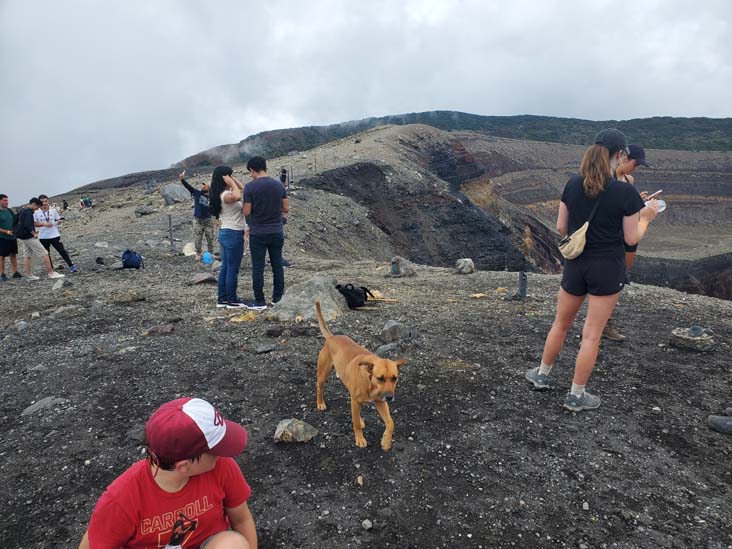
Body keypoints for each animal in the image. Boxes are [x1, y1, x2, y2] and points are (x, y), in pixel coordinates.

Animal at [314, 300, 406, 450]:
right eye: (380, 378)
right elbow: (355, 423)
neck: (370, 382)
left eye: (394, 378)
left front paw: (386, 441)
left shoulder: (380, 402)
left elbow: (391, 423)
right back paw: (320, 403)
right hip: (323, 373)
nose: (389, 397)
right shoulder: (359, 400)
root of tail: (332, 337)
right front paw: (360, 439)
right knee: (319, 387)